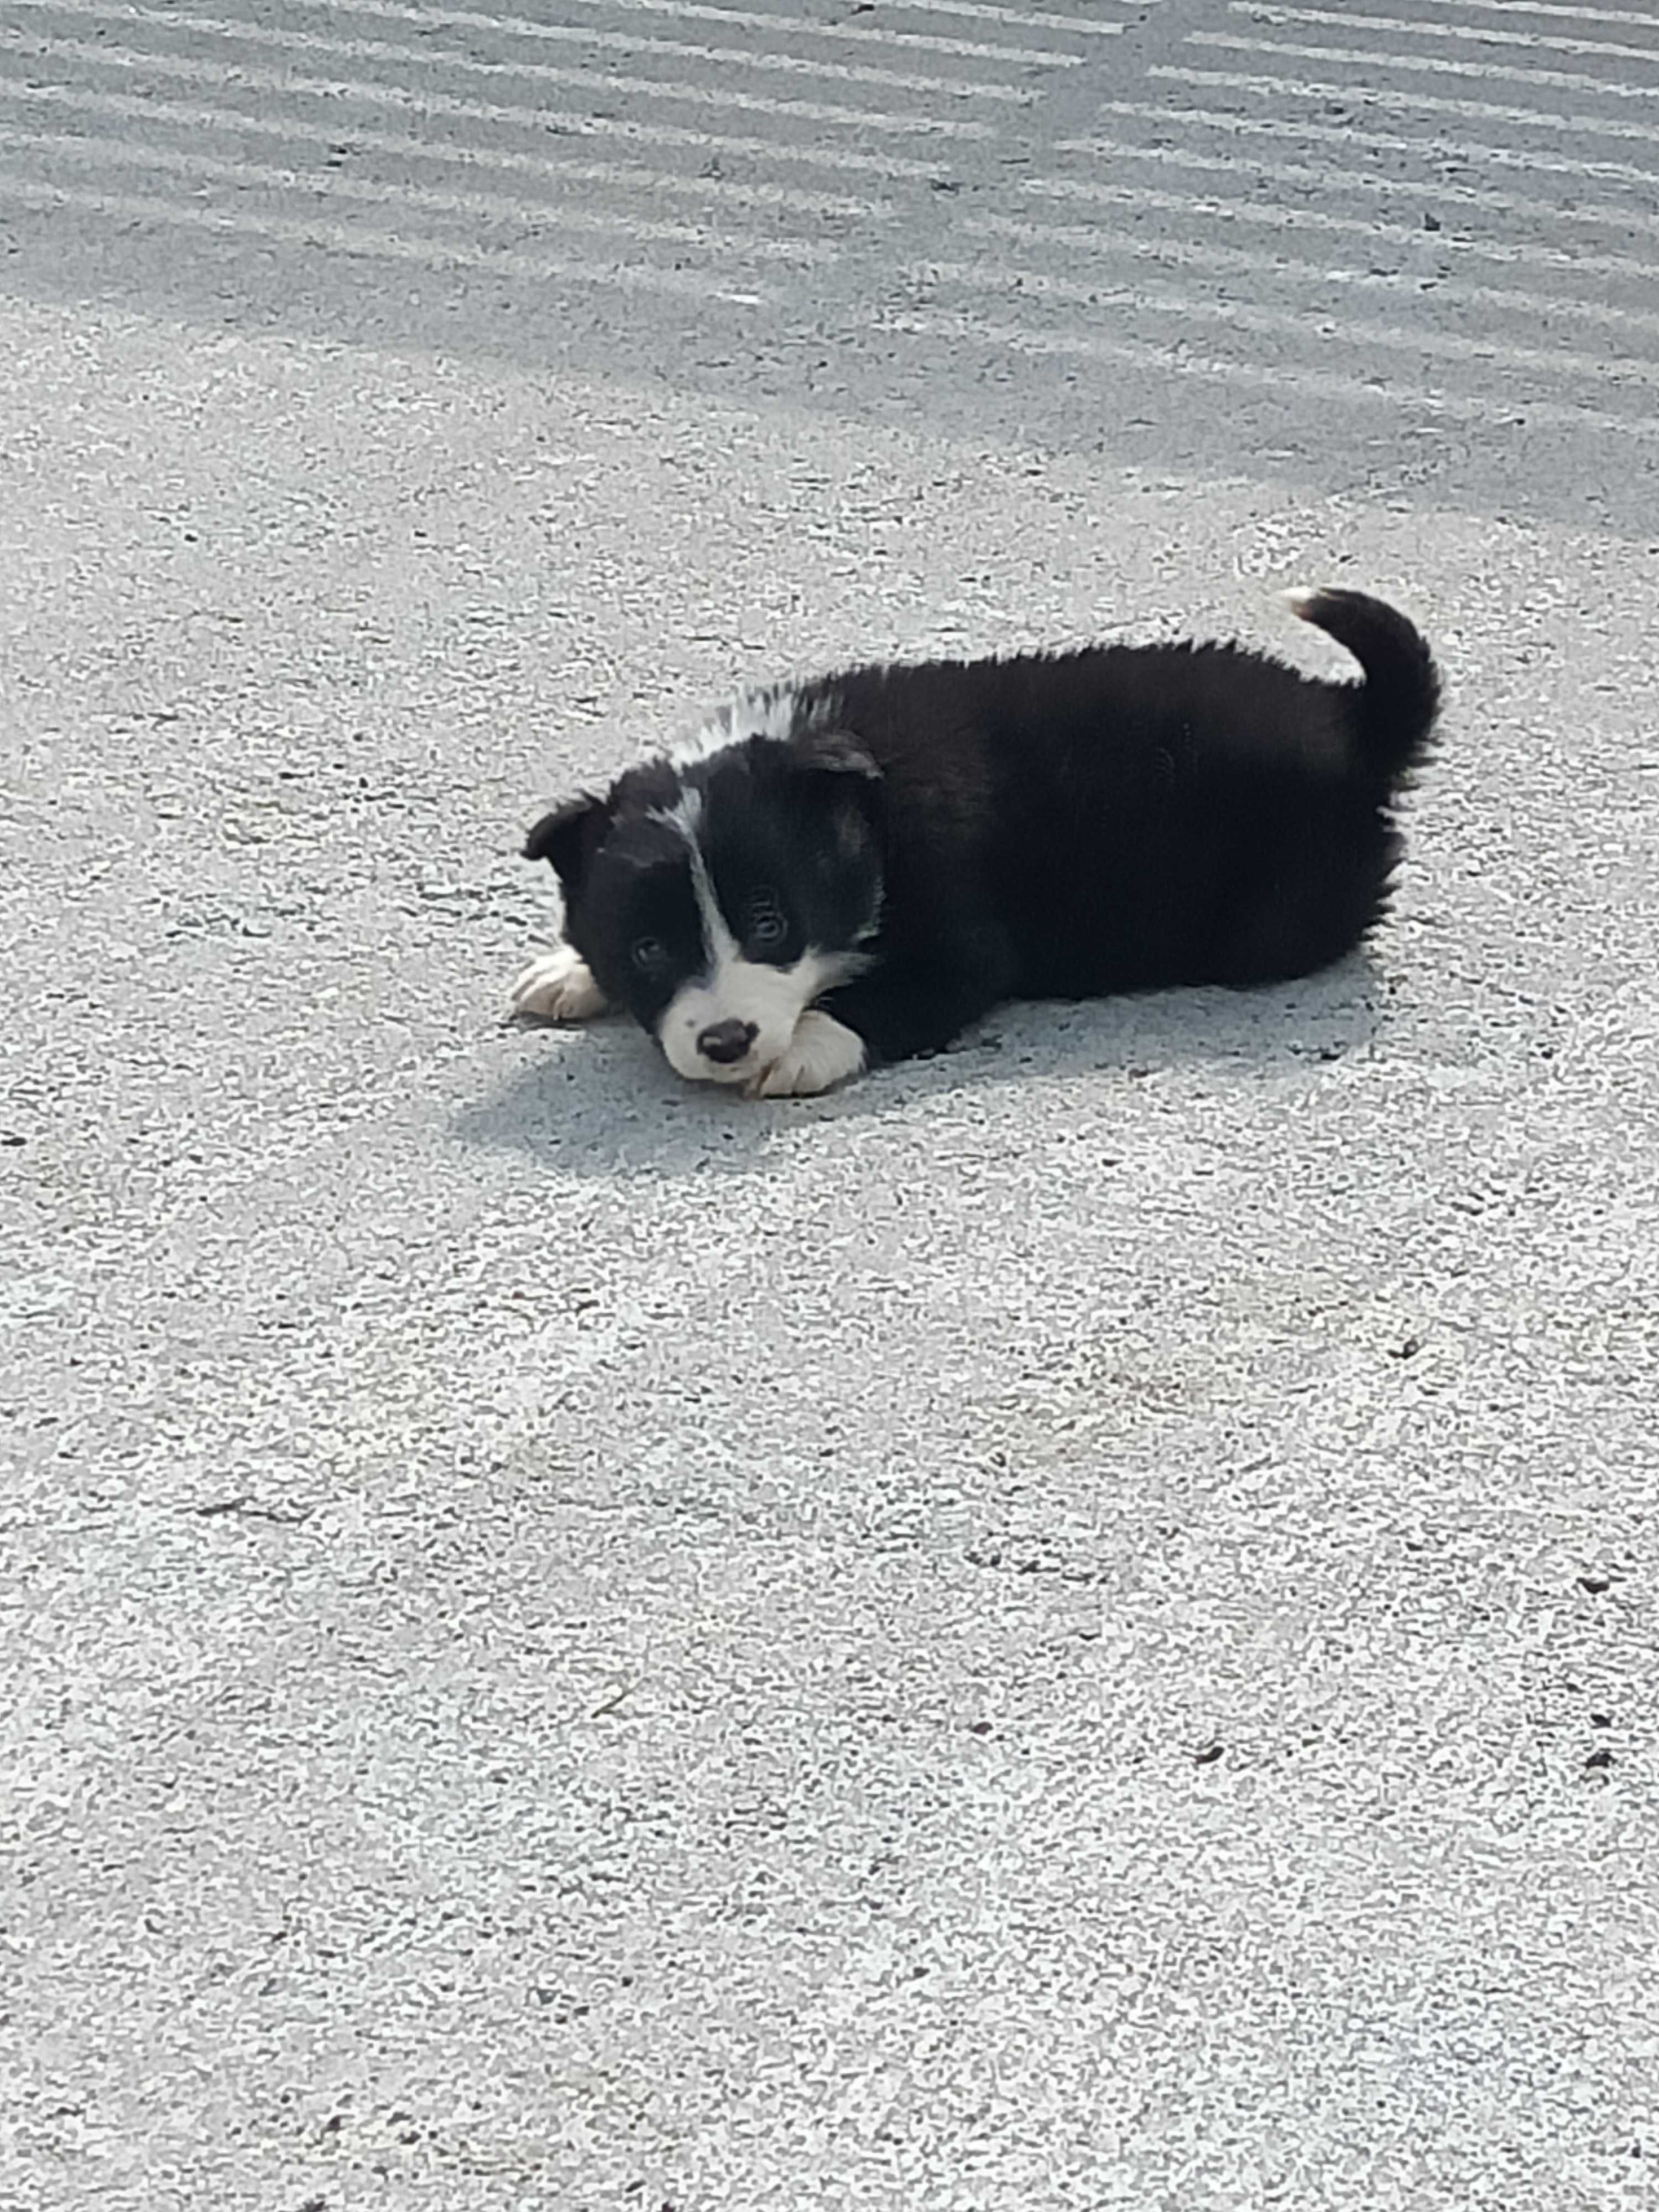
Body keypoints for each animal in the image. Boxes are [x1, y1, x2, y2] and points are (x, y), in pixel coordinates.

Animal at [518, 588, 1442, 1097]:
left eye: (770, 922)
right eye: (648, 949)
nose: (726, 1044)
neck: (863, 813)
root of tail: (1353, 722)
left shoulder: (964, 946)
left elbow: (884, 999)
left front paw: (803, 1049)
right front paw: (571, 972)